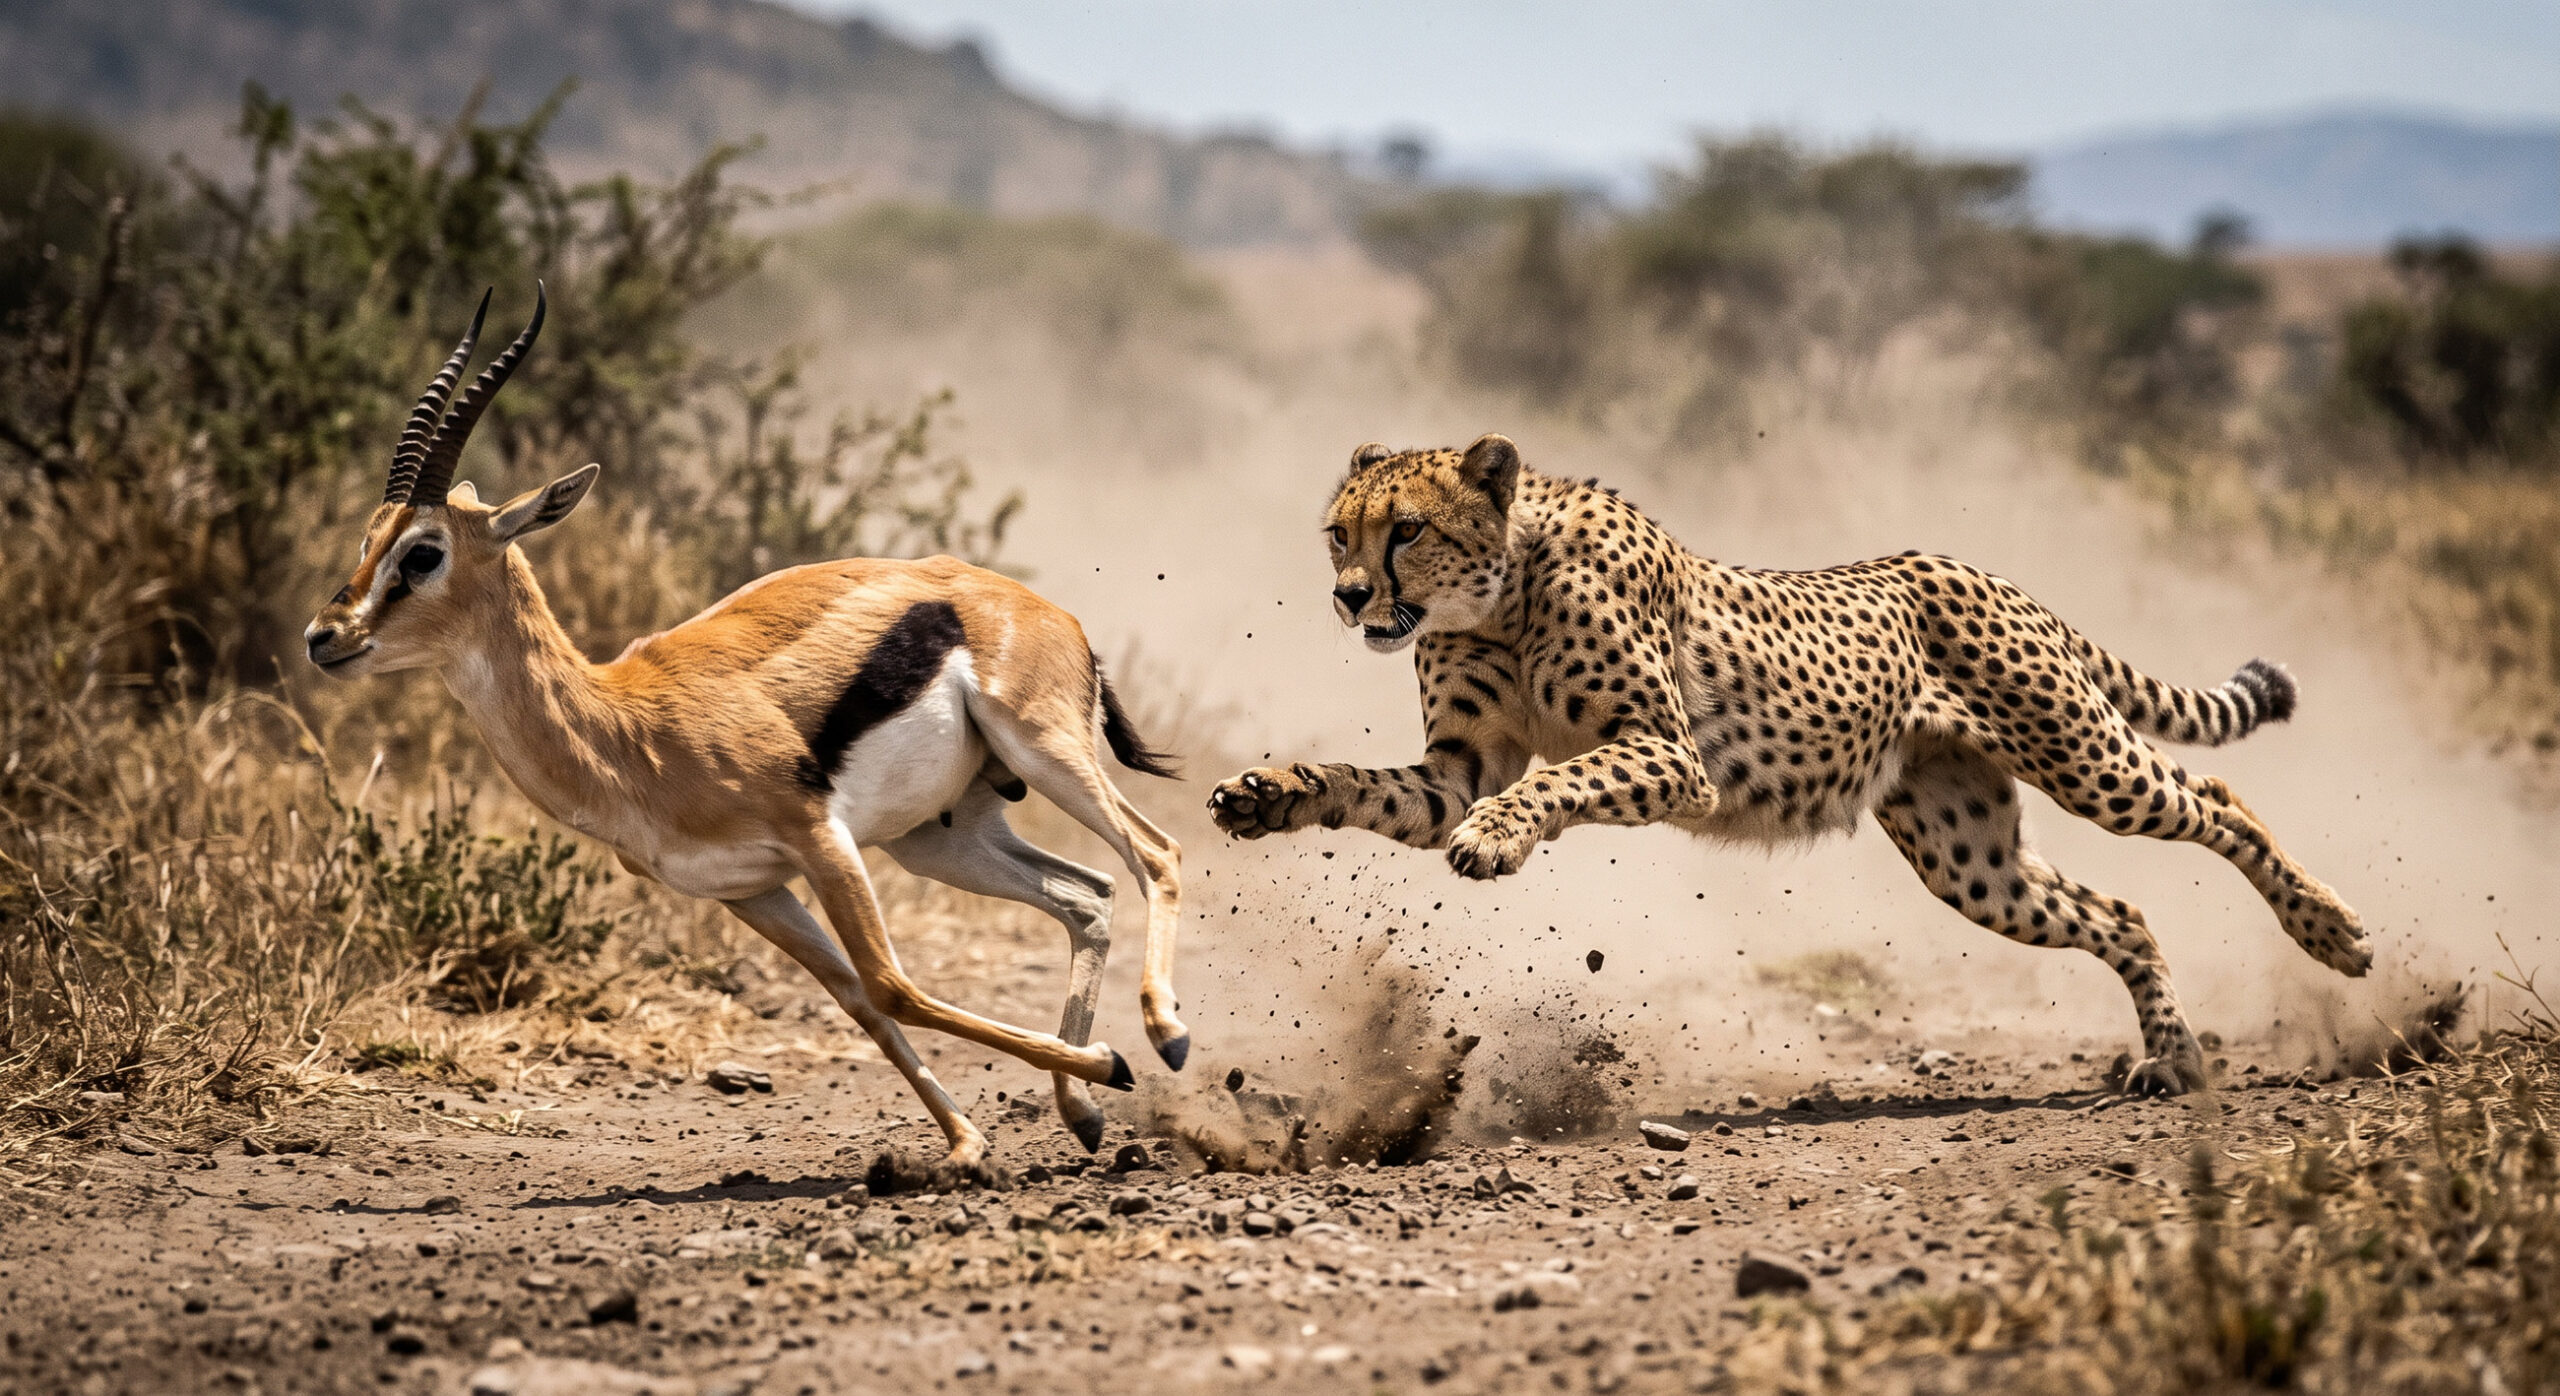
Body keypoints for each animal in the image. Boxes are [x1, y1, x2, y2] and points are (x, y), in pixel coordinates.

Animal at [305, 286, 1190, 1169]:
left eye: (423, 554)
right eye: (367, 540)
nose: (323, 637)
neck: (623, 726)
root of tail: (1049, 611)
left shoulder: (817, 837)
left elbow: (894, 986)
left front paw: (1109, 1066)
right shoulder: (750, 889)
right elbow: (862, 1002)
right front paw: (969, 1143)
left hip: (1041, 751)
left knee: (1155, 853)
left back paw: (1161, 1038)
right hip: (939, 835)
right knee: (1087, 894)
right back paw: (1082, 1111)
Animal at [1208, 434, 2371, 1096]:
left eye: (1406, 530)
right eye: (1338, 533)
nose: (1349, 596)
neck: (1500, 592)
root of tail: (1979, 569)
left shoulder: (1669, 754)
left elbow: (1553, 780)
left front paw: (1497, 840)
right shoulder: (1456, 761)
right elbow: (1365, 786)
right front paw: (1268, 794)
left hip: (2083, 757)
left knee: (2215, 796)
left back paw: (2332, 931)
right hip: (1968, 859)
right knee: (2117, 910)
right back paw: (2173, 1056)